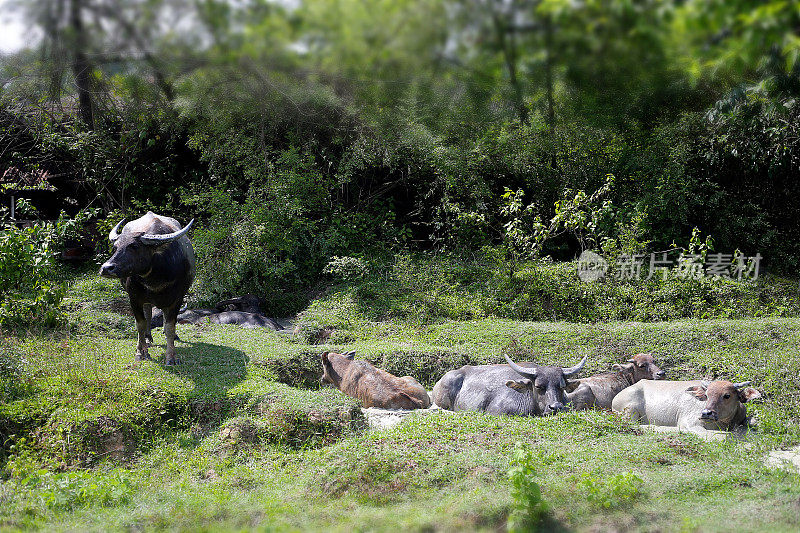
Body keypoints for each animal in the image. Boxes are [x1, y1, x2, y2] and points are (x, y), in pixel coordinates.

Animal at [99, 212, 195, 366]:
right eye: (115, 247)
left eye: (134, 246)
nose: (107, 268)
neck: (156, 279)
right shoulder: (134, 298)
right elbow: (140, 324)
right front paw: (141, 352)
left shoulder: (177, 299)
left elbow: (170, 326)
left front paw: (171, 357)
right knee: (148, 314)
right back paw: (148, 338)